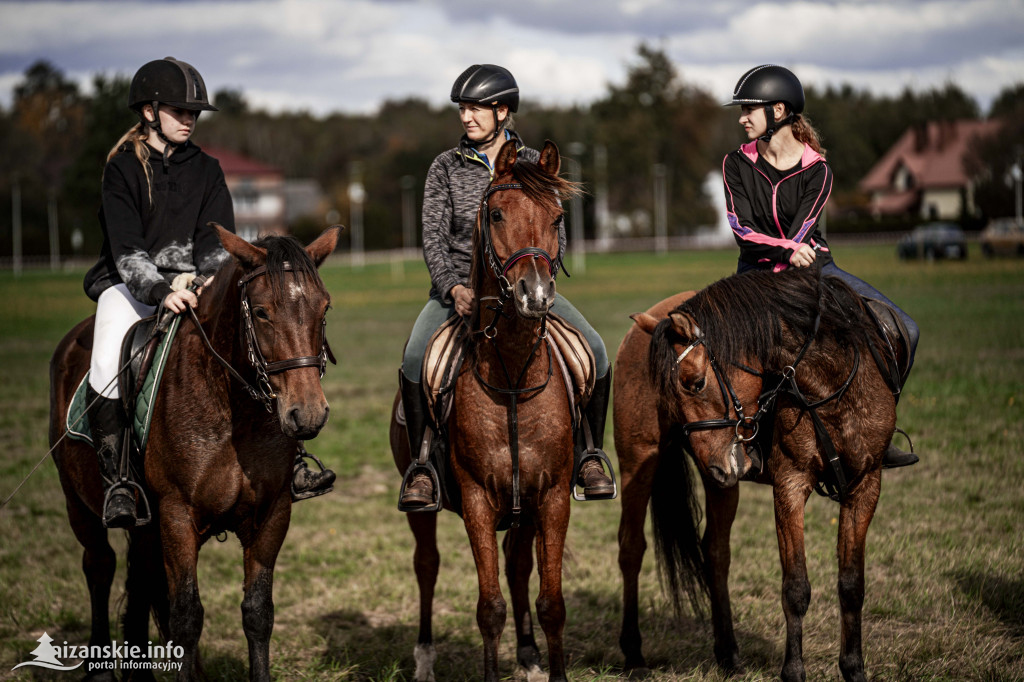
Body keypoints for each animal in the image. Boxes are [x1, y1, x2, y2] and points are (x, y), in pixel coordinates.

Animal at [48, 225, 339, 675]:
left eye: (323, 310)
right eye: (261, 313)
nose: (307, 414)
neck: (234, 412)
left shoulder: (271, 515)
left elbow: (257, 613)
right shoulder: (177, 516)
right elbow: (185, 616)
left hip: (145, 529)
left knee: (141, 589)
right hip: (79, 504)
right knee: (99, 568)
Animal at [610, 266, 901, 679]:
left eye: (695, 383)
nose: (723, 464)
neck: (829, 385)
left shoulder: (866, 484)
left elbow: (851, 583)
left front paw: (853, 668)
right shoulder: (790, 484)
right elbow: (796, 587)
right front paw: (793, 671)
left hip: (719, 483)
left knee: (715, 552)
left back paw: (728, 653)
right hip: (641, 458)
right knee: (632, 547)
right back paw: (634, 654)